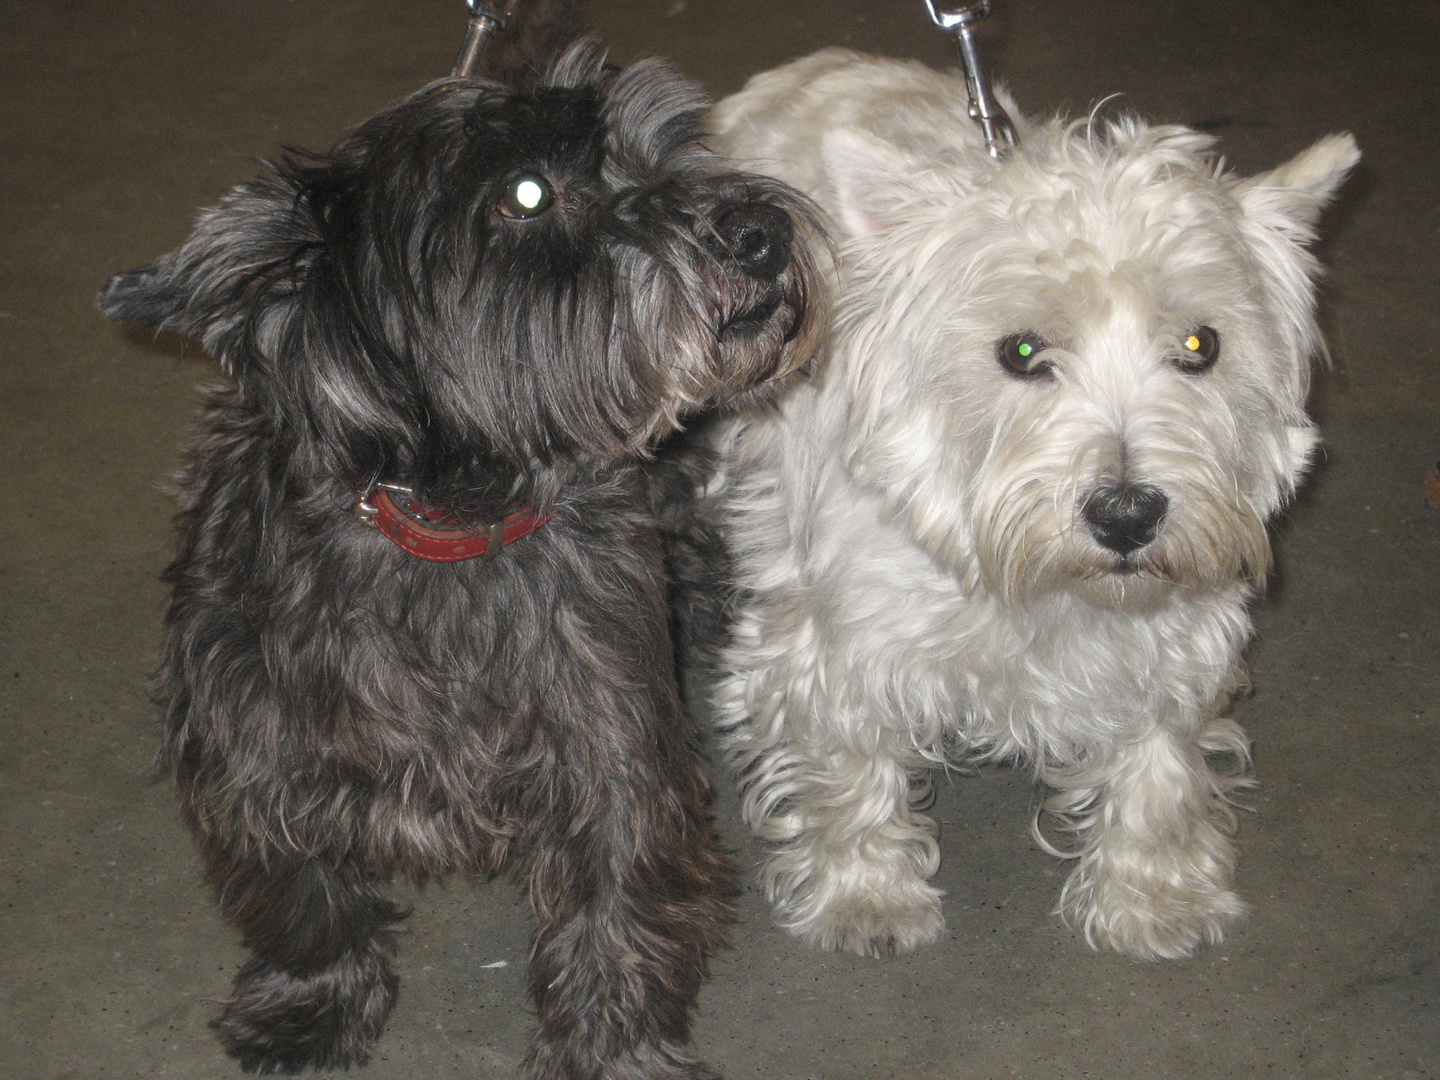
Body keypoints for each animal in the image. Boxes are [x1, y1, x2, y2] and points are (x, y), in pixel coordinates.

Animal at [98, 42, 823, 1080]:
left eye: (669, 149)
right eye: (526, 192)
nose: (762, 230)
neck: (446, 532)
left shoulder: (614, 752)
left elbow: (615, 919)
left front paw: (611, 1053)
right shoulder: (248, 753)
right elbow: (303, 899)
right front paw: (311, 1003)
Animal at [708, 50, 1359, 961]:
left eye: (1202, 345)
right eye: (1020, 352)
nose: (1126, 516)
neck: (1036, 585)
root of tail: (816, 64)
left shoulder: (1175, 628)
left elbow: (1160, 758)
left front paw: (1154, 897)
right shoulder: (836, 638)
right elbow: (846, 764)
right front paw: (864, 896)